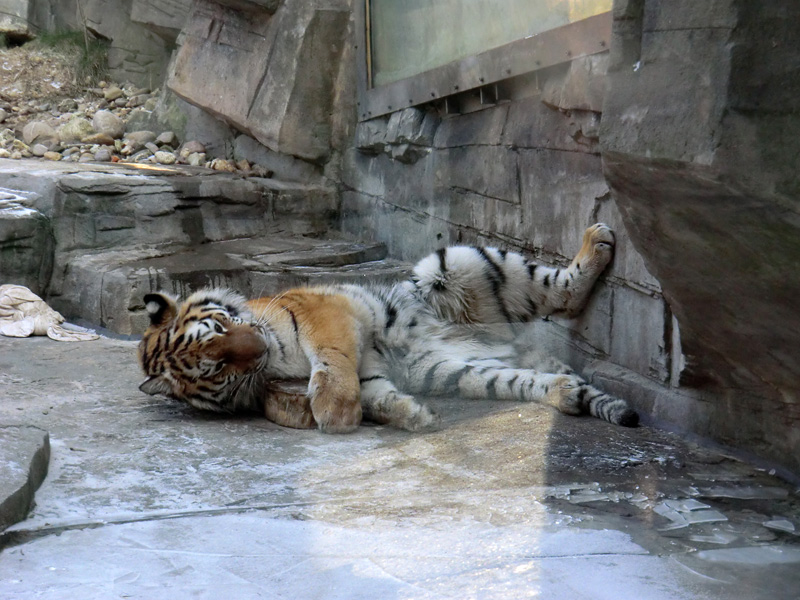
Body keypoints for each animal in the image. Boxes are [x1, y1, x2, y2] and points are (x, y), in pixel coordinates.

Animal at [138, 224, 636, 432]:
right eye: (218, 367)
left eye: (221, 326)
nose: (257, 348)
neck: (274, 361)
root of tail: (505, 345)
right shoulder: (372, 370)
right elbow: (377, 393)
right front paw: (413, 416)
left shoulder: (322, 310)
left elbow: (332, 361)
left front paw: (335, 412)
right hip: (453, 371)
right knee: (530, 379)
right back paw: (564, 391)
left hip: (453, 265)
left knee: (563, 291)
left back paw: (598, 240)